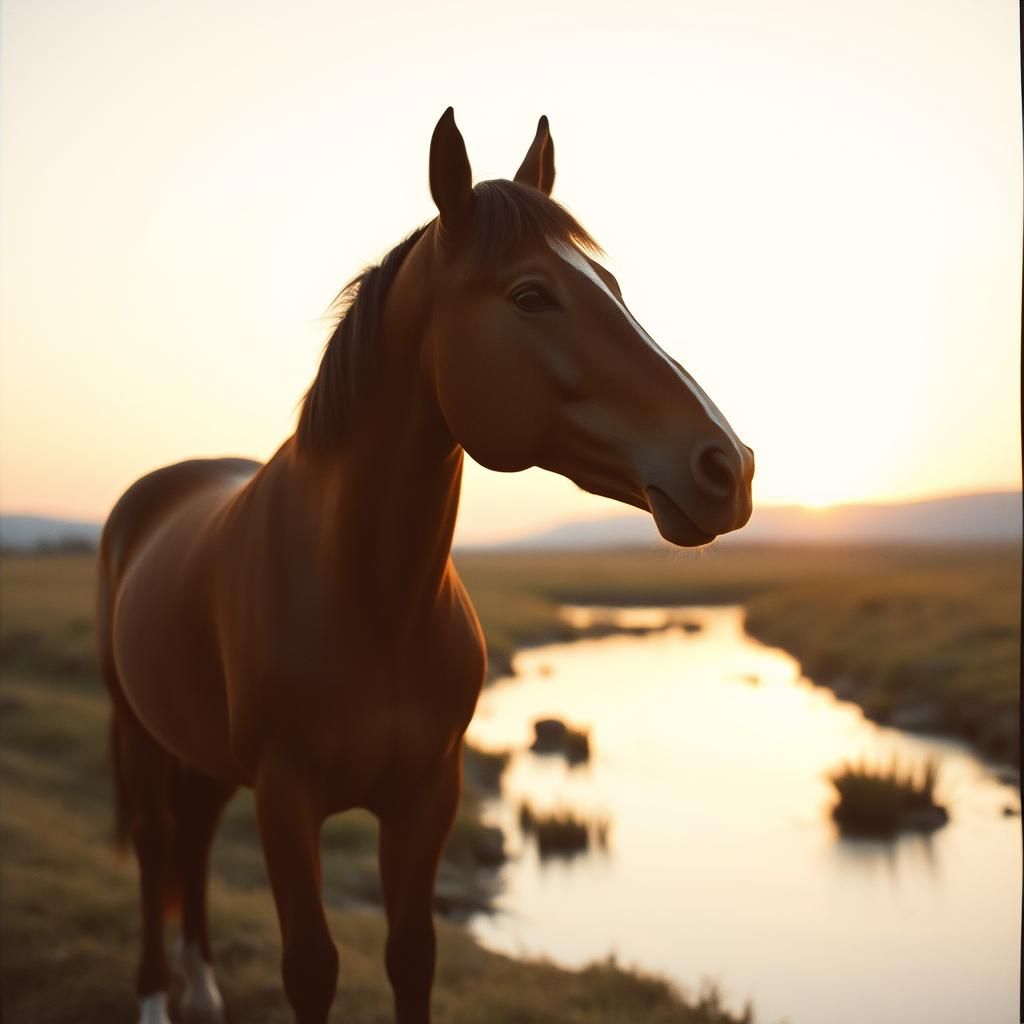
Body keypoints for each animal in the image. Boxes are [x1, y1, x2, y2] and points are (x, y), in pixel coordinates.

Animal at [96, 107, 754, 1024]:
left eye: (613, 288)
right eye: (530, 294)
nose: (728, 467)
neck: (369, 598)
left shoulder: (427, 795)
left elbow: (412, 954)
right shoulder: (286, 801)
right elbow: (312, 966)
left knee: (191, 839)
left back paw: (202, 985)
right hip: (139, 728)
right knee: (161, 844)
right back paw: (159, 995)